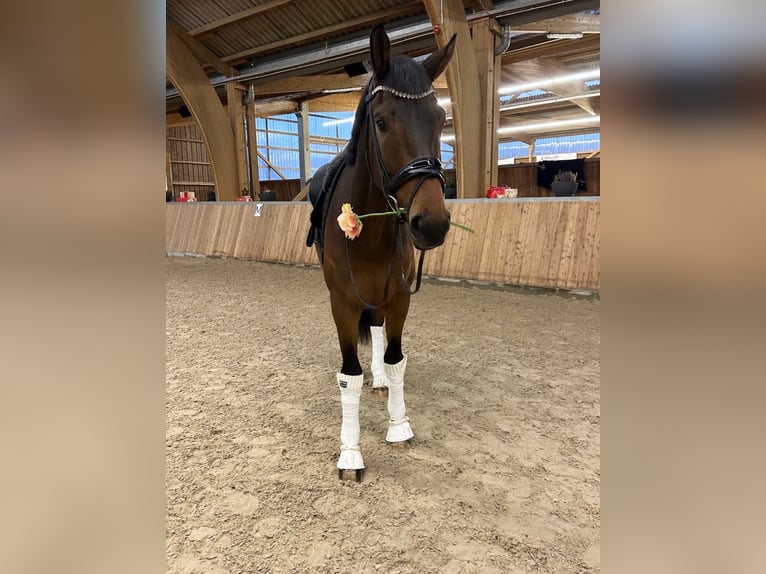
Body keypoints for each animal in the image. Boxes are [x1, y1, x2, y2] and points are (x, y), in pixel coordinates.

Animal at [310, 24, 456, 482]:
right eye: (381, 121)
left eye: (441, 119)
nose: (431, 222)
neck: (369, 229)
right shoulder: (341, 303)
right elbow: (348, 376)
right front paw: (351, 453)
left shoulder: (398, 298)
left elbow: (395, 360)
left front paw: (398, 425)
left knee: (374, 329)